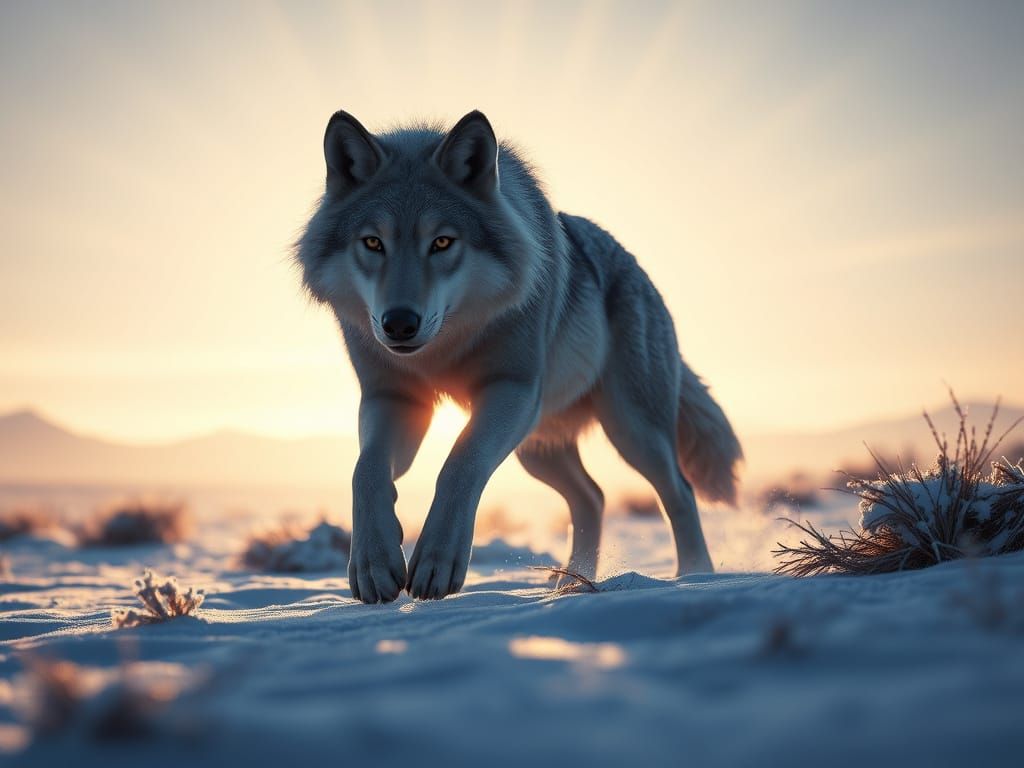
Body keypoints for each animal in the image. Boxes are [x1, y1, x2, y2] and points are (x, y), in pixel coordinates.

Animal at [296, 110, 743, 603]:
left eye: (442, 242)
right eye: (373, 243)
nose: (398, 324)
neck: (443, 348)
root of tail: (639, 270)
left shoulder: (511, 390)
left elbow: (460, 463)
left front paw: (437, 562)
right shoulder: (393, 399)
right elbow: (366, 470)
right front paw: (373, 563)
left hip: (631, 430)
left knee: (678, 492)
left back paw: (694, 578)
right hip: (538, 448)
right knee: (592, 496)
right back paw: (570, 584)